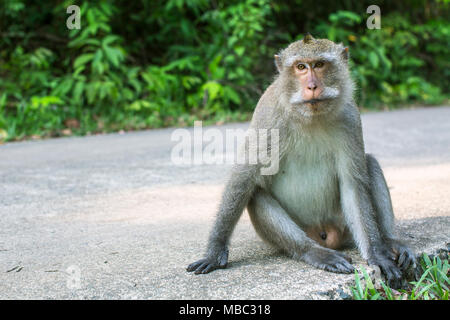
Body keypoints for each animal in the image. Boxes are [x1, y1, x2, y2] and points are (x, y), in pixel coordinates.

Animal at [186, 34, 414, 288]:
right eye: (301, 67)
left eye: (319, 65)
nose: (312, 86)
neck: (310, 116)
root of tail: (325, 234)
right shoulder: (268, 116)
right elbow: (244, 178)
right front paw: (214, 252)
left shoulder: (350, 117)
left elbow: (352, 185)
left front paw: (377, 254)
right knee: (256, 193)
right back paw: (313, 252)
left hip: (344, 225)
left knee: (370, 163)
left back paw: (390, 242)